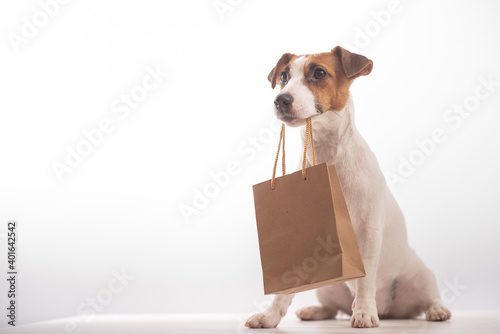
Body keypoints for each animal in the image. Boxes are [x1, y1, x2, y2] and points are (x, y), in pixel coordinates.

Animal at [244, 46, 452, 328]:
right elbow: (286, 289)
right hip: (328, 287)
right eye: (284, 77)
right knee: (333, 309)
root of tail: (390, 310)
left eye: (319, 73)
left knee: (429, 298)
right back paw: (314, 311)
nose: (280, 100)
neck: (328, 154)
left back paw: (435, 310)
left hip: (422, 278)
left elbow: (365, 279)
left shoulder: (367, 232)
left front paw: (364, 312)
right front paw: (270, 315)